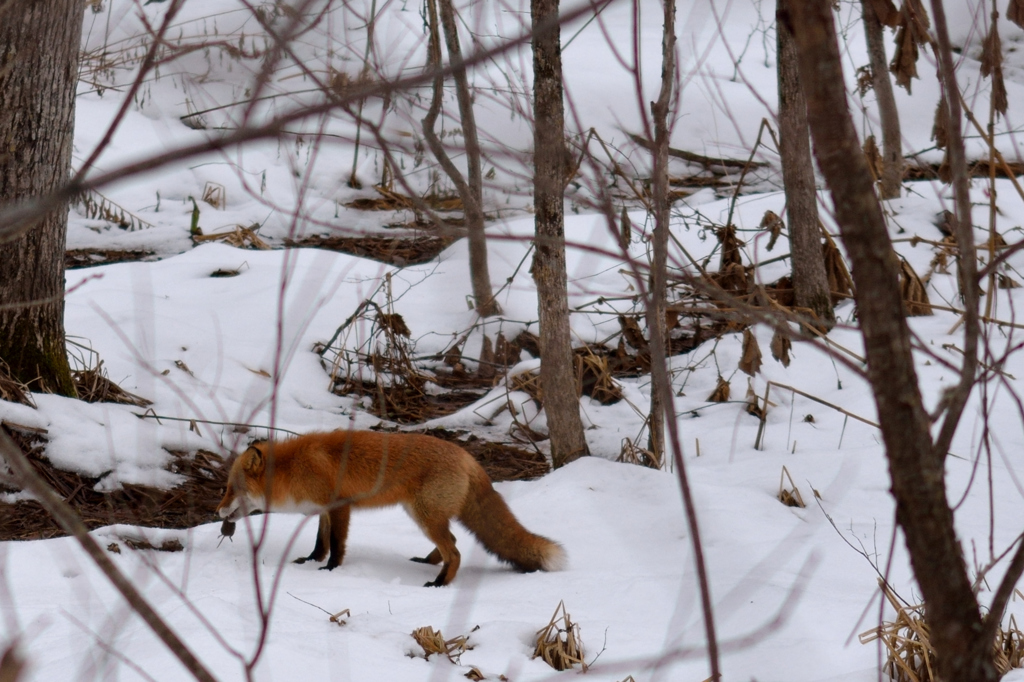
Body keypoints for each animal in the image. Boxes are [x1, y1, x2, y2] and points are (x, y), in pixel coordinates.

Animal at [217, 430, 569, 585]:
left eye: (229, 489)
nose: (217, 513)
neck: (292, 469)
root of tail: (468, 458)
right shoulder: (324, 510)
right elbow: (320, 541)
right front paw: (310, 561)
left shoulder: (340, 506)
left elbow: (336, 545)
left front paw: (330, 570)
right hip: (422, 515)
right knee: (452, 543)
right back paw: (428, 563)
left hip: (425, 515)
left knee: (455, 552)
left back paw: (440, 583)